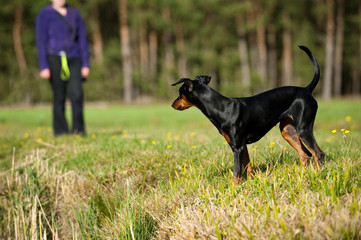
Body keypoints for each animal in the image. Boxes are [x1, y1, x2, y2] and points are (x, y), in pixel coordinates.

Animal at [170, 45, 324, 184]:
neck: (222, 108)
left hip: (303, 129)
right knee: (305, 155)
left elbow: (236, 174)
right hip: (288, 131)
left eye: (179, 94)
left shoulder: (238, 148)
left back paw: (318, 175)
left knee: (318, 154)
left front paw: (233, 190)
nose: (172, 104)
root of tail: (306, 90)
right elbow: (248, 168)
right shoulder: (242, 146)